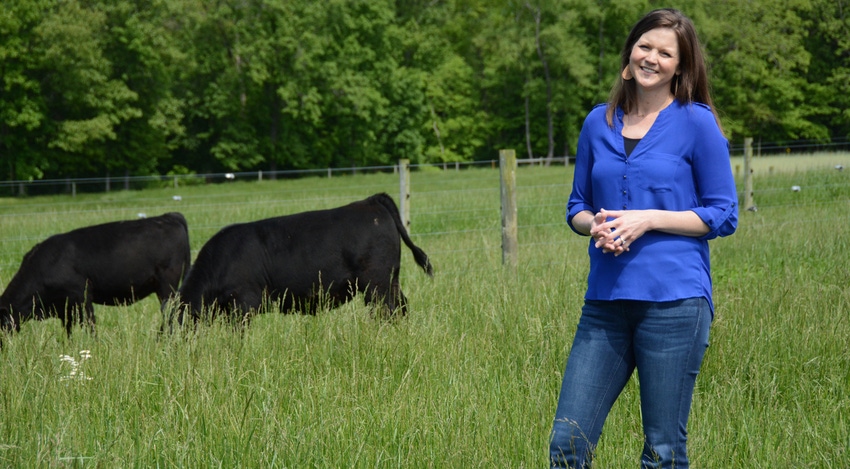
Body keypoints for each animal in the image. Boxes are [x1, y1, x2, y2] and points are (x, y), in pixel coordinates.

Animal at [1, 212, 190, 340]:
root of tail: (169, 216)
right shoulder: (64, 306)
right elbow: (68, 329)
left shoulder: (83, 295)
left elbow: (89, 324)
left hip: (167, 285)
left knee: (170, 312)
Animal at [171, 190, 434, 326]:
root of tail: (371, 201)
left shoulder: (243, 303)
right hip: (390, 280)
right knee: (401, 307)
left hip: (376, 284)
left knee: (386, 311)